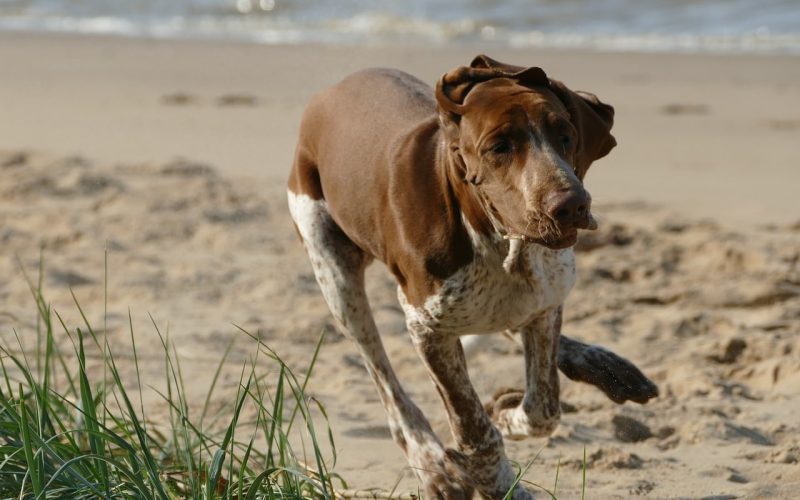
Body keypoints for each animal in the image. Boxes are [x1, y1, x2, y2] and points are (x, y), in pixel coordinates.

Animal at [288, 56, 656, 498]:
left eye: (566, 137)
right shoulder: (427, 328)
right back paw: (433, 466)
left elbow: (543, 409)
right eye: (499, 147)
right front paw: (497, 478)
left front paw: (507, 412)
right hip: (335, 274)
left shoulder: (545, 304)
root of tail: (330, 91)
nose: (571, 205)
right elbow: (474, 428)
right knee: (389, 389)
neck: (498, 243)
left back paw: (603, 366)